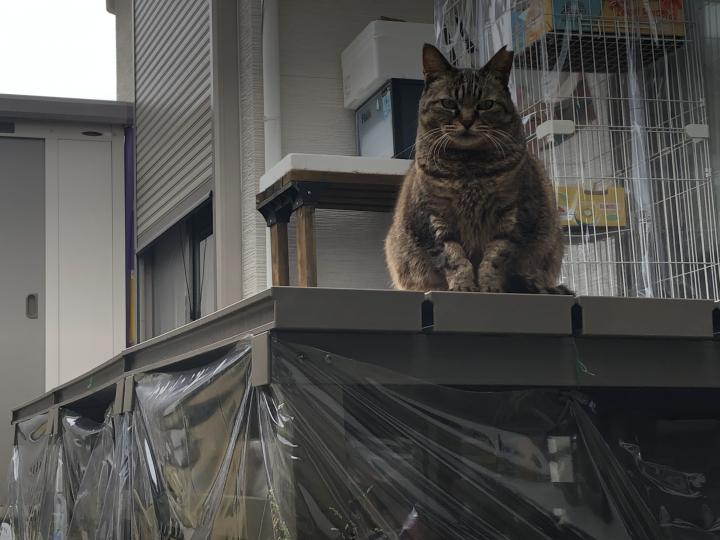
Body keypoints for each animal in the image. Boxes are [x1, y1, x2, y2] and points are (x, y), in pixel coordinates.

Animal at [385, 44, 571, 295]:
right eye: (448, 104)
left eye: (485, 104)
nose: (466, 121)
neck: (469, 168)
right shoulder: (435, 215)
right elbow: (452, 255)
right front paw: (463, 285)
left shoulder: (513, 212)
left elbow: (496, 255)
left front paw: (488, 286)